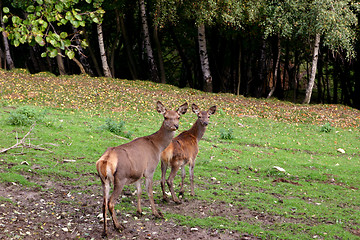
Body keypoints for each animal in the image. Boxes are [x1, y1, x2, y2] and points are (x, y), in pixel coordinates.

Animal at [97, 100, 190, 235]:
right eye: (165, 117)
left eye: (178, 117)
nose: (175, 126)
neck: (157, 146)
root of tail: (105, 161)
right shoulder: (150, 170)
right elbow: (149, 192)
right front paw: (157, 213)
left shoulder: (138, 173)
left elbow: (139, 191)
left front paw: (139, 211)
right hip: (120, 178)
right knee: (111, 202)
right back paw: (118, 226)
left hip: (104, 180)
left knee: (103, 203)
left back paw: (105, 231)